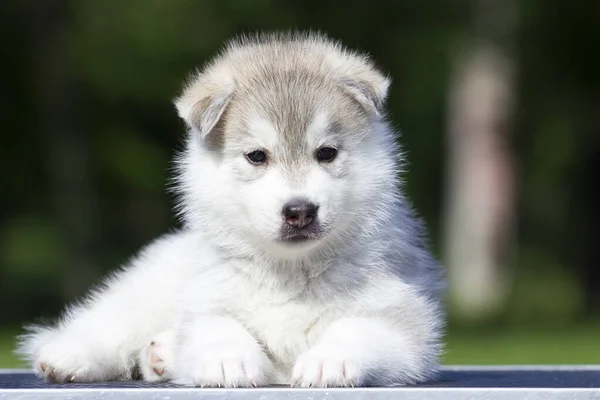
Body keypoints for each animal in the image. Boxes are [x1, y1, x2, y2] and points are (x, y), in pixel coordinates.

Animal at [15, 31, 446, 388]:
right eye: (257, 156)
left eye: (326, 153)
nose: (300, 211)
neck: (290, 271)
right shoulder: (206, 302)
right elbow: (219, 327)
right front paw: (229, 361)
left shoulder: (405, 321)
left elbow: (357, 329)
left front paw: (330, 361)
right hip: (155, 285)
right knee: (113, 319)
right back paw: (67, 355)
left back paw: (160, 355)